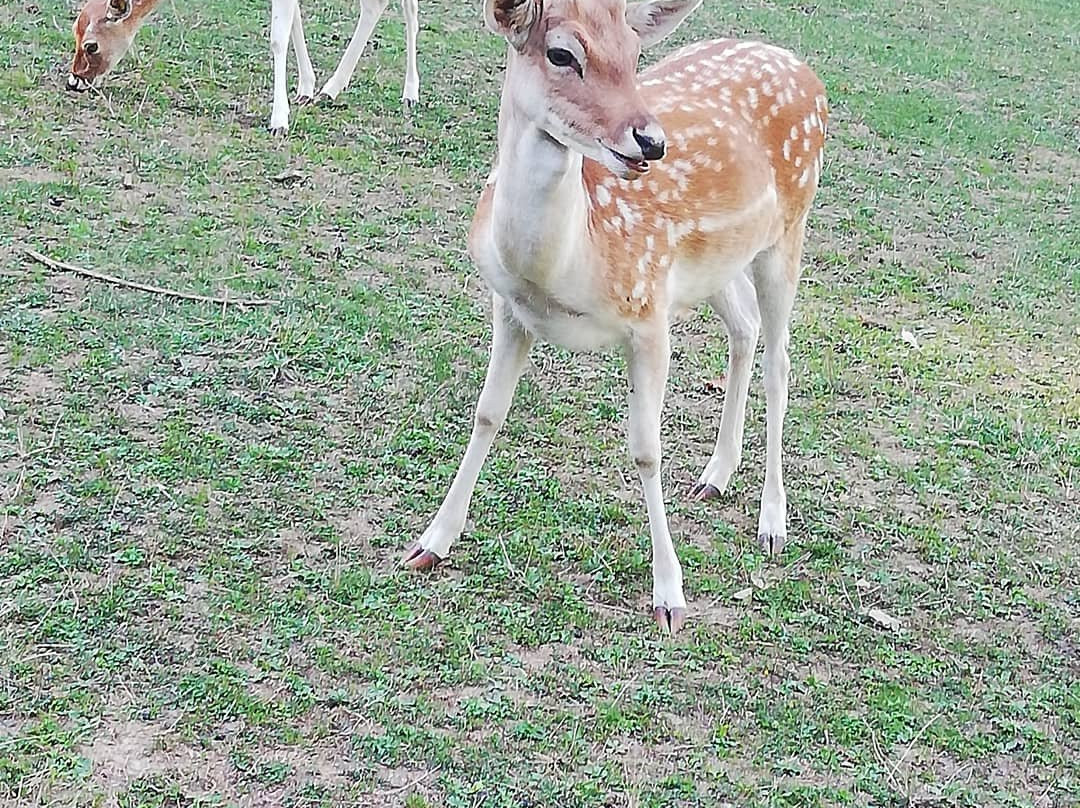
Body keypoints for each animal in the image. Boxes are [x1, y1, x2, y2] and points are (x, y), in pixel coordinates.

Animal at [68, 0, 421, 133]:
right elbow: (292, 22)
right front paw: (305, 88)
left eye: (91, 45)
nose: (75, 81)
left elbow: (277, 36)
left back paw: (406, 93)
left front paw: (279, 121)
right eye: (75, 29)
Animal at [401, 0, 829, 639]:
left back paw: (771, 521)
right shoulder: (510, 307)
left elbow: (646, 450)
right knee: (745, 327)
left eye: (634, 54)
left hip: (789, 228)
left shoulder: (649, 314)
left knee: (780, 360)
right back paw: (715, 474)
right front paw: (431, 541)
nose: (651, 142)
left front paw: (669, 595)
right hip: (714, 265)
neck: (563, 267)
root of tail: (805, 70)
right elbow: (487, 414)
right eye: (562, 53)